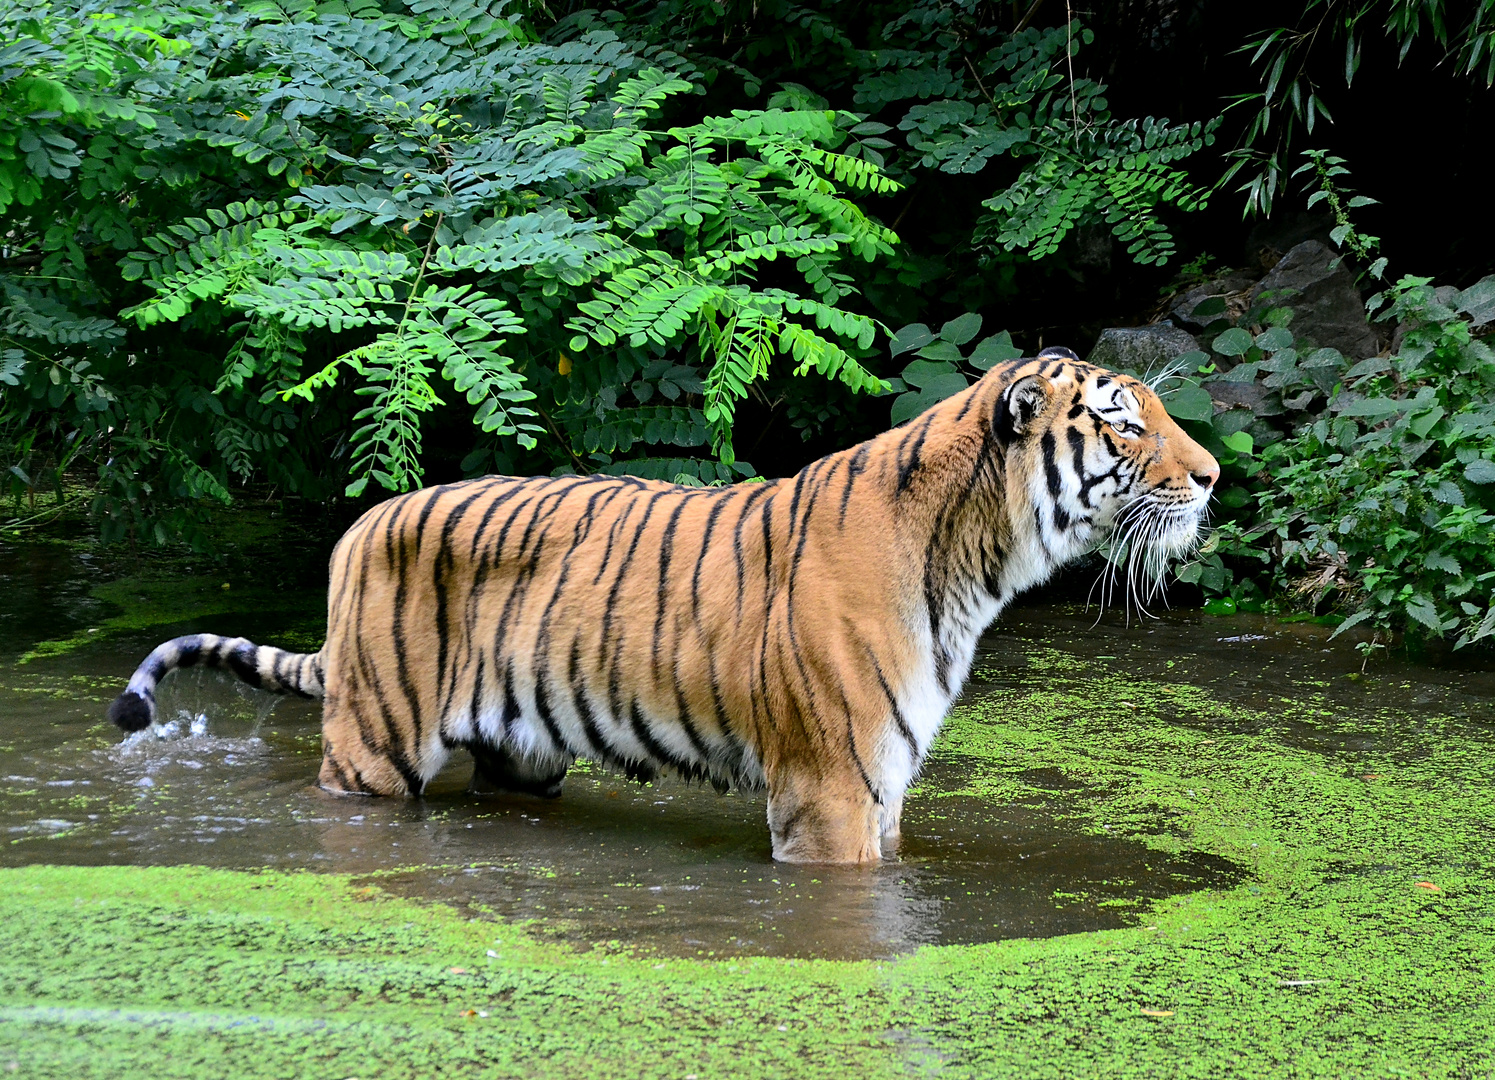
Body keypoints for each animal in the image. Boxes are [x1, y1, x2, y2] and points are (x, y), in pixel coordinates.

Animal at [110, 348, 1219, 861]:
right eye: (1125, 427)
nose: (1213, 478)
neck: (977, 564)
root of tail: (359, 525)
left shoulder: (885, 789)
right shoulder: (831, 794)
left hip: (520, 757)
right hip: (373, 755)